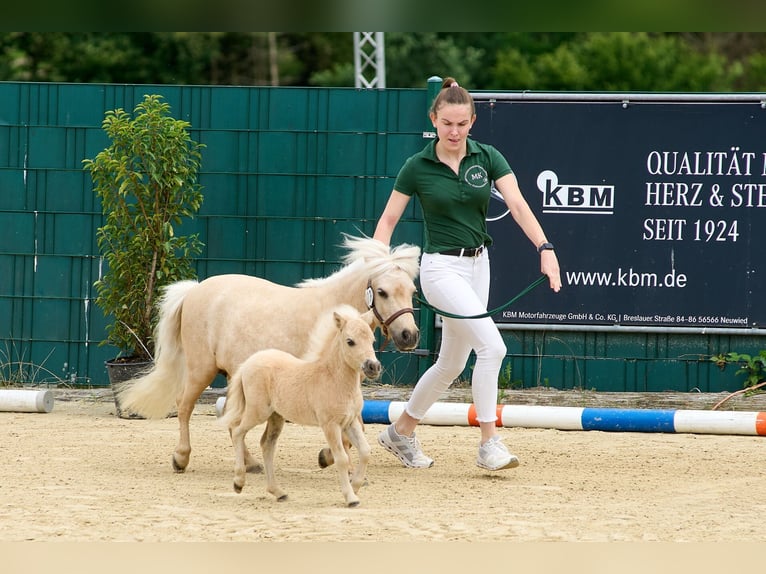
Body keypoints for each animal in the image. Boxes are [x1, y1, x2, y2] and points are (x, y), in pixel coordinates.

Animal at [117, 232, 424, 474]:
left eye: (411, 289)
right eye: (382, 292)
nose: (409, 336)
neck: (335, 316)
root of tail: (194, 290)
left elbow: (354, 424)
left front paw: (328, 457)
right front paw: (328, 457)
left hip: (235, 375)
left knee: (231, 417)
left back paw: (251, 463)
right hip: (200, 369)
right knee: (184, 406)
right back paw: (181, 458)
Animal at [220, 306, 380, 508]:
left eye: (372, 340)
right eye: (350, 341)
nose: (373, 367)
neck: (334, 379)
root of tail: (248, 363)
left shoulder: (350, 422)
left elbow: (365, 451)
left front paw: (356, 486)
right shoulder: (330, 425)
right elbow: (341, 458)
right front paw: (350, 497)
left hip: (276, 417)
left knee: (266, 445)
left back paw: (279, 492)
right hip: (258, 412)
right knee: (238, 431)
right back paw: (239, 482)